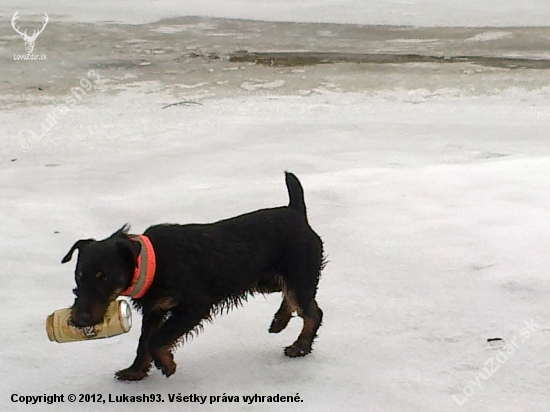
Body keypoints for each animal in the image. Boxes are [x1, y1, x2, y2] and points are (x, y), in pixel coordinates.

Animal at [62, 172, 326, 382]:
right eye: (79, 276)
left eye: (103, 277)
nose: (79, 320)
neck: (152, 262)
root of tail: (296, 211)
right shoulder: (155, 309)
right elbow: (144, 341)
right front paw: (135, 371)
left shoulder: (194, 306)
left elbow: (156, 339)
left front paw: (166, 364)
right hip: (266, 280)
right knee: (292, 298)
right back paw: (279, 321)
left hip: (296, 274)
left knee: (312, 311)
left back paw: (300, 346)